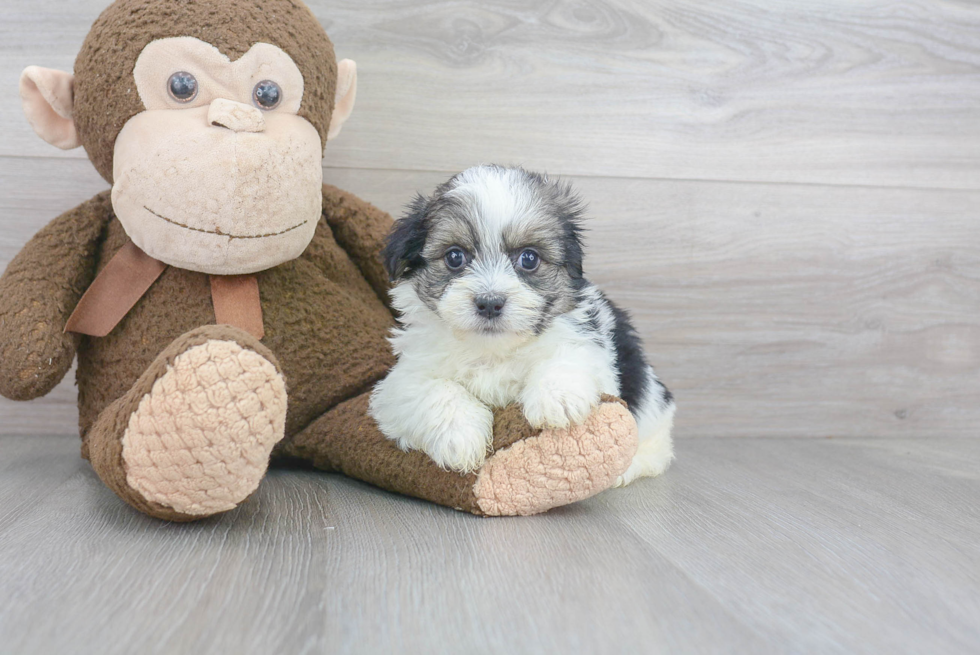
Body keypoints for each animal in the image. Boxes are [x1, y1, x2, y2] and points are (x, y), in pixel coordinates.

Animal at [368, 165, 672, 486]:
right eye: (454, 256)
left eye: (528, 258)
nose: (490, 303)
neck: (491, 351)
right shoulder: (402, 380)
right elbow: (431, 390)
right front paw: (460, 436)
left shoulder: (589, 344)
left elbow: (572, 356)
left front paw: (557, 398)